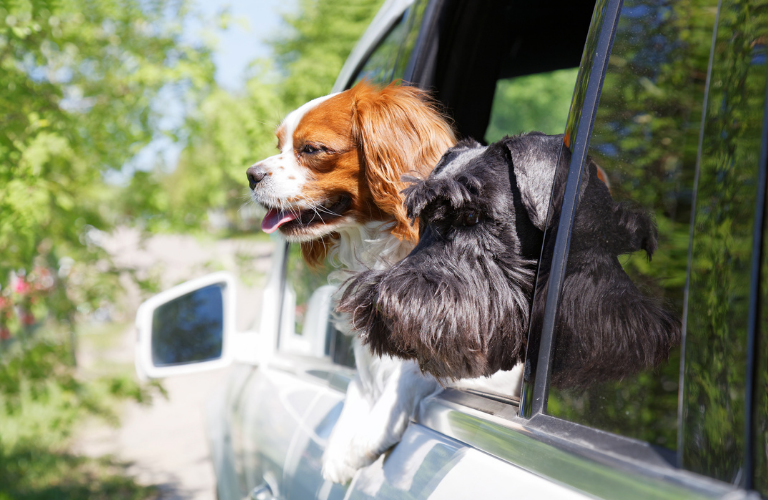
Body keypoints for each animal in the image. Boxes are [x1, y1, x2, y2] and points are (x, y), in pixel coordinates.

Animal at [248, 82, 456, 484]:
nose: (250, 174)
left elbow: (411, 372)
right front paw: (337, 447)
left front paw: (365, 440)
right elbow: (360, 382)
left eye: (312, 149)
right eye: (279, 143)